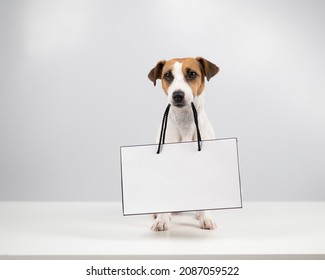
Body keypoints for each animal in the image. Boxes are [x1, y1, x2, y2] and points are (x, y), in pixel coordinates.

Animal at [147, 57, 219, 232]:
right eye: (167, 75)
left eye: (192, 73)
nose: (178, 95)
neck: (185, 121)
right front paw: (162, 219)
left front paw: (206, 217)